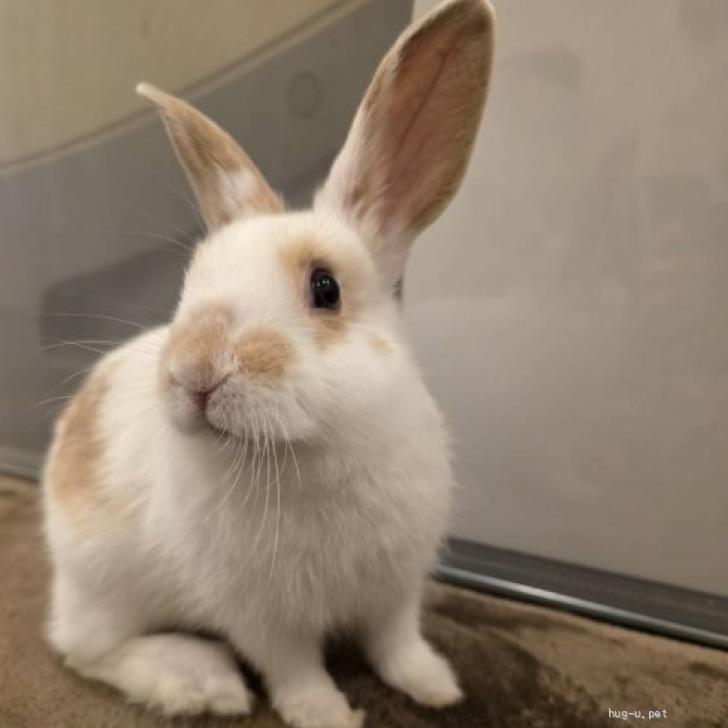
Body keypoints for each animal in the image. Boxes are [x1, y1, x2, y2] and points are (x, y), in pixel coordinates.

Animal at [41, 1, 494, 726]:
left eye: (325, 288)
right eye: (190, 281)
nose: (195, 371)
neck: (312, 452)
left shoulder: (395, 587)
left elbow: (396, 642)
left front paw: (436, 686)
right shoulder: (263, 617)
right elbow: (295, 671)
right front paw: (330, 715)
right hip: (104, 583)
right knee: (84, 649)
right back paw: (202, 682)